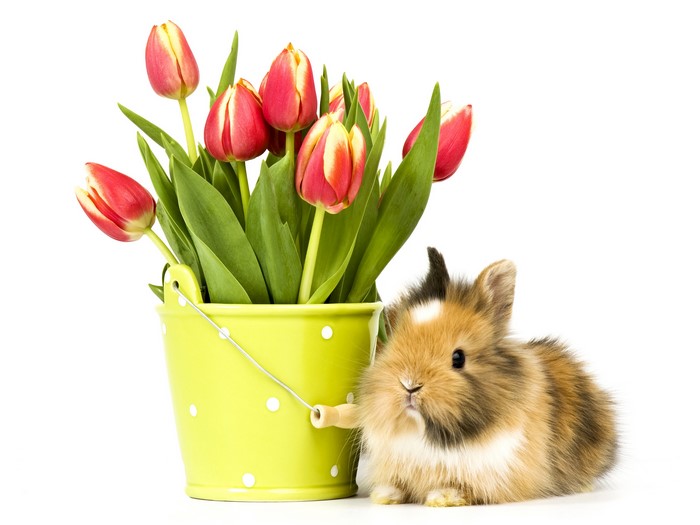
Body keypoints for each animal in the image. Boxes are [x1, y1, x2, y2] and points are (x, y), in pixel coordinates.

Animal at [358, 247, 618, 506]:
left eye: (458, 358)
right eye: (393, 343)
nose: (409, 385)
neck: (427, 435)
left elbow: (464, 488)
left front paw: (442, 497)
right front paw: (384, 495)